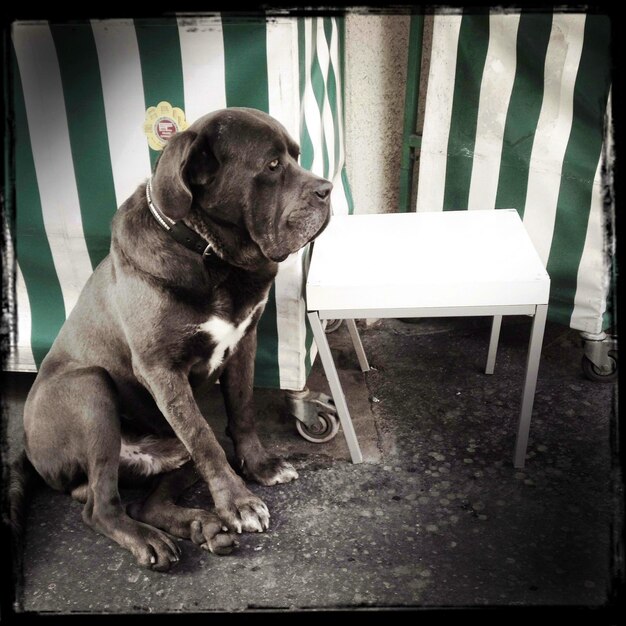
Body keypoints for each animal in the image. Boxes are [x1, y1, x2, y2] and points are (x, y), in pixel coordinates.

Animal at [14, 107, 332, 572]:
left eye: (296, 155)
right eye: (273, 165)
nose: (327, 190)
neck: (210, 253)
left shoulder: (245, 341)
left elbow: (242, 410)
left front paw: (260, 466)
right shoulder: (161, 369)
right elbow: (205, 441)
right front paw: (238, 503)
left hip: (167, 449)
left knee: (146, 499)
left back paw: (204, 527)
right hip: (89, 388)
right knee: (101, 507)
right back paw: (153, 540)